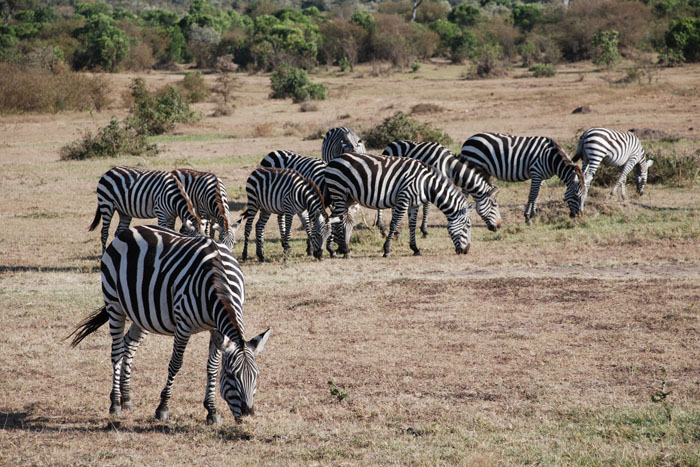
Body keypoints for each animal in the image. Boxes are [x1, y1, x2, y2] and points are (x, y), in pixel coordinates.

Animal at [68, 225, 270, 426]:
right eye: (231, 376)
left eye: (257, 376)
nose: (248, 415)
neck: (218, 282)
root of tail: (131, 229)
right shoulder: (183, 326)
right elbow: (176, 363)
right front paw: (163, 407)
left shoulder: (216, 328)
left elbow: (212, 367)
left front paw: (211, 411)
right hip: (114, 303)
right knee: (117, 350)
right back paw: (116, 402)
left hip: (142, 313)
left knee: (129, 345)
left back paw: (126, 398)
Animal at [322, 154, 470, 258]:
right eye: (467, 226)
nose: (466, 251)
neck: (425, 184)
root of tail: (333, 160)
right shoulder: (403, 199)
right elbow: (394, 223)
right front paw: (387, 250)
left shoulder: (414, 204)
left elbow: (412, 225)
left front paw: (415, 249)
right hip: (339, 192)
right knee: (339, 220)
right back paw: (346, 251)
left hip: (347, 198)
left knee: (332, 218)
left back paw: (333, 250)